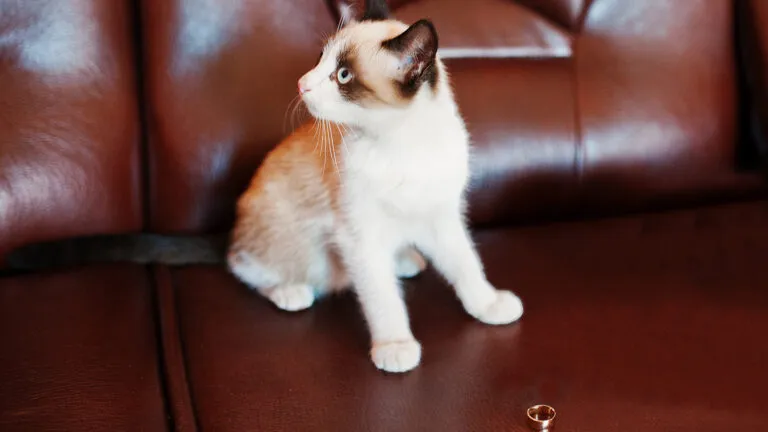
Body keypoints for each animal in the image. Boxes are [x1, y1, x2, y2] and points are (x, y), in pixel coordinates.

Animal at [4, 0, 520, 372]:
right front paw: (395, 345)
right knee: (241, 262)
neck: (401, 144)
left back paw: (407, 260)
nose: (303, 83)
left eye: (343, 75)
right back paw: (291, 292)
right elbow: (381, 297)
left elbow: (466, 265)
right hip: (311, 245)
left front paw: (488, 305)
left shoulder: (443, 217)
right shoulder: (360, 237)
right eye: (319, 61)